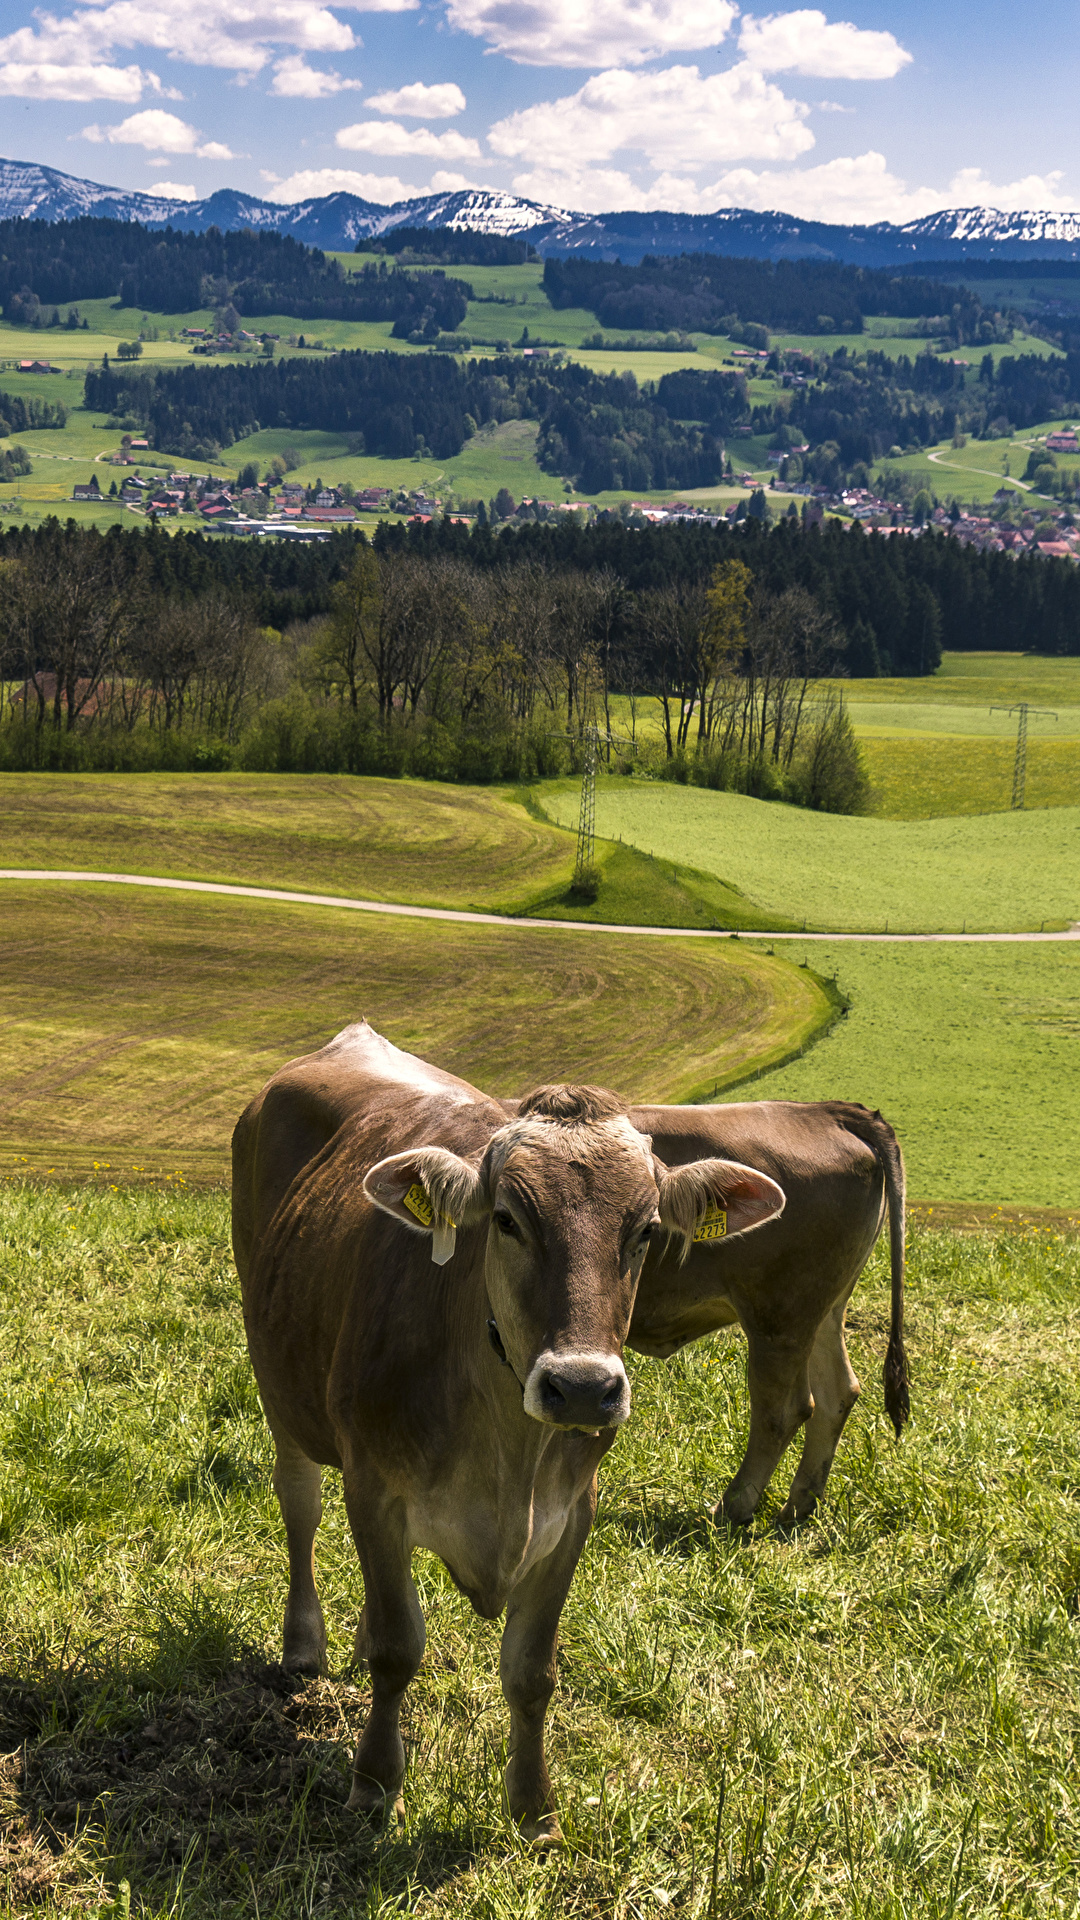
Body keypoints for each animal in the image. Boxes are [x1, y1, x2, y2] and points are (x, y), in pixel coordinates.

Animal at [232, 1025, 785, 1844]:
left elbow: (531, 1671)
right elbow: (398, 1650)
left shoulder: (571, 1514)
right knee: (299, 1504)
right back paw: (306, 1643)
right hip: (281, 1387)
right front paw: (374, 1783)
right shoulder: (374, 1488)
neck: (508, 1451)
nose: (582, 1386)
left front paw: (534, 1810)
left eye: (647, 1230)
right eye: (507, 1220)